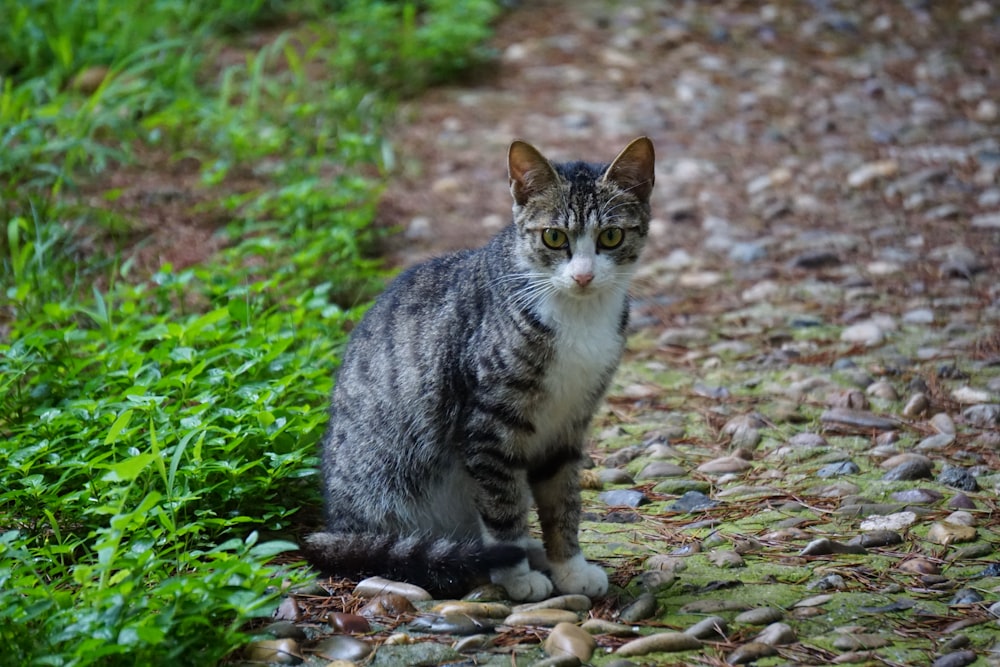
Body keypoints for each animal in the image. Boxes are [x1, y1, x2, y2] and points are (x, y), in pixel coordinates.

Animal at [308, 136, 660, 600]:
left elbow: (563, 501)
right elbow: (502, 504)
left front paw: (569, 566)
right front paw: (516, 576)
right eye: (553, 237)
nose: (583, 276)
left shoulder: (570, 424)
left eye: (611, 235)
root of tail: (337, 526)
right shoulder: (487, 425)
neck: (578, 318)